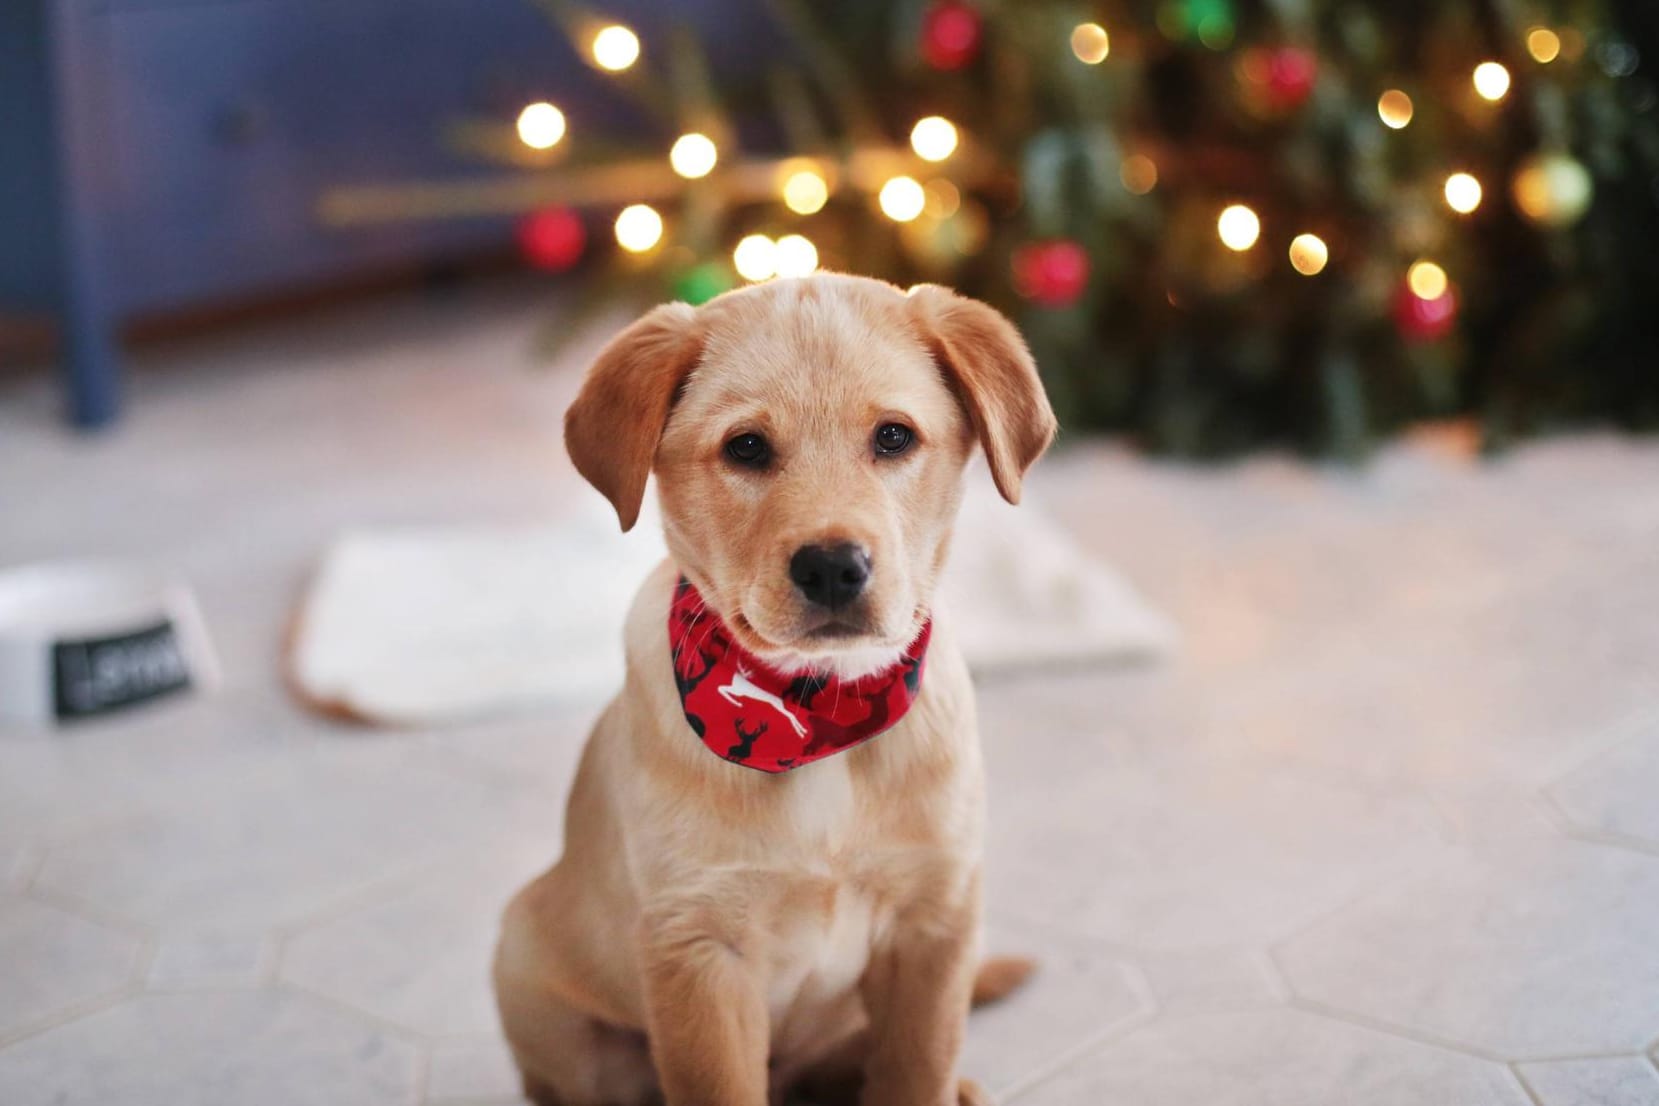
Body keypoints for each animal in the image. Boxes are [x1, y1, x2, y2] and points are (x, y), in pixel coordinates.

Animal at [497, 270, 1055, 1106]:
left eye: (894, 437)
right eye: (747, 447)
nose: (831, 567)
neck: (821, 713)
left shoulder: (935, 919)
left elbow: (915, 1067)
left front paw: (932, 1081)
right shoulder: (699, 946)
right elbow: (721, 1086)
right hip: (530, 970)